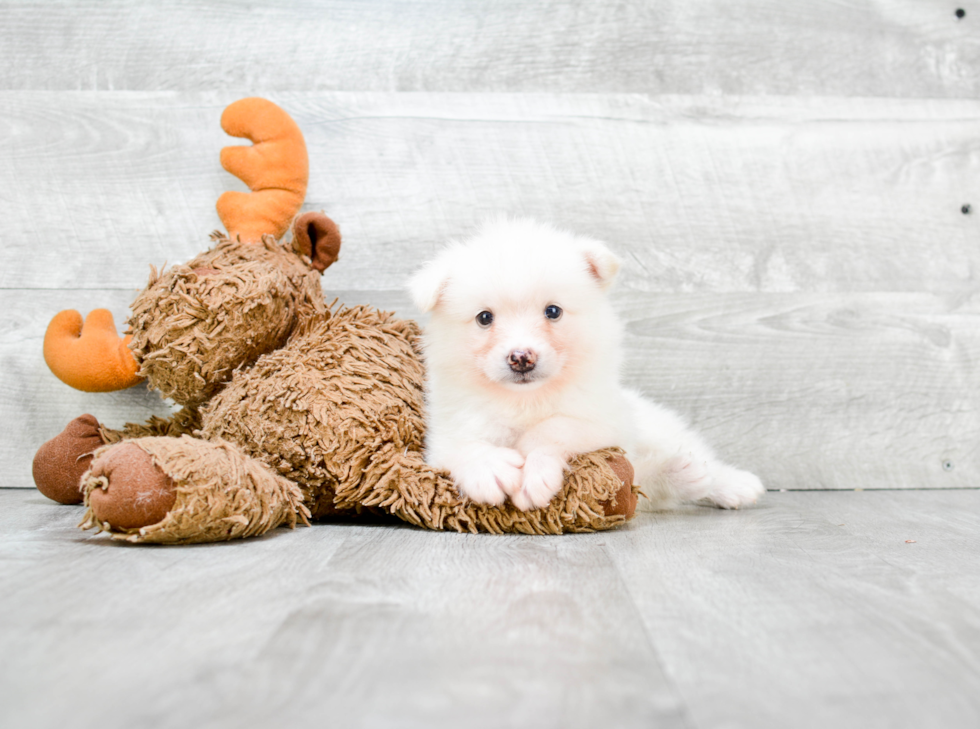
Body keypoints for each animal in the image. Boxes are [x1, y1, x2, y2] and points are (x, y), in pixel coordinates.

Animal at [408, 219, 764, 510]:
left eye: (553, 311)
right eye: (484, 318)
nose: (521, 357)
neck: (525, 400)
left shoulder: (604, 422)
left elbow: (555, 427)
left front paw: (534, 471)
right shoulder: (449, 430)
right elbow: (461, 446)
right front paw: (489, 469)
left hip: (656, 426)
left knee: (693, 460)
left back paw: (732, 483)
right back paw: (680, 475)